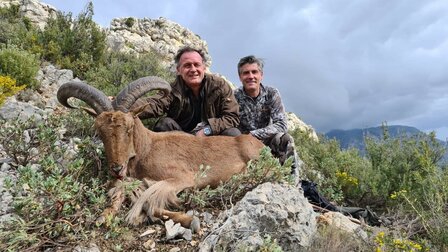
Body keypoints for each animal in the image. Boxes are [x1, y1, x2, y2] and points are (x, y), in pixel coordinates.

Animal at [57, 76, 264, 231]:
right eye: (99, 131)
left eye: (129, 128)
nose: (117, 169)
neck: (147, 149)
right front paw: (103, 216)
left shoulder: (181, 178)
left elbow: (150, 204)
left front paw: (191, 220)